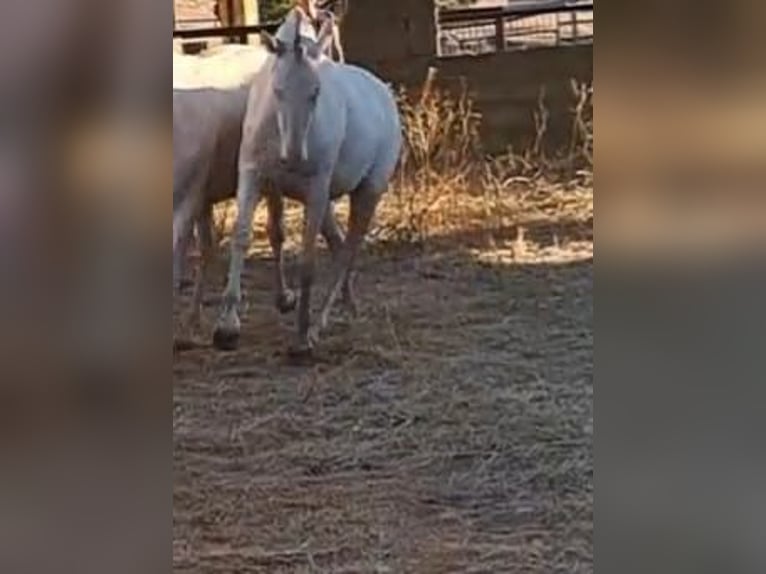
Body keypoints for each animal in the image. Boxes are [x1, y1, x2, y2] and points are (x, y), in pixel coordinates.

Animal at [210, 9, 402, 358]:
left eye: (316, 92)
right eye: (277, 91)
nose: (295, 158)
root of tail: (385, 93)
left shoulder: (315, 189)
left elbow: (308, 260)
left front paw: (300, 336)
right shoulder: (255, 176)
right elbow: (244, 237)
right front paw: (226, 327)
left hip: (367, 192)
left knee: (348, 250)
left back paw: (317, 326)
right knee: (340, 245)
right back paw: (346, 307)